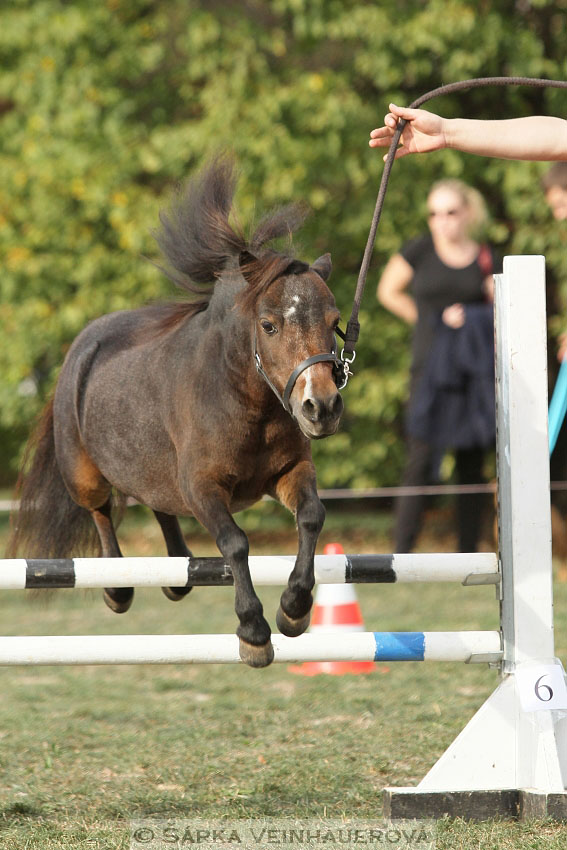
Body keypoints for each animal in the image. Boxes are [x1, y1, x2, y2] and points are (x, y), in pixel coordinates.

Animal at [10, 157, 346, 664]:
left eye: (334, 322)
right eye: (269, 325)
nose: (320, 407)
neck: (246, 405)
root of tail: (83, 344)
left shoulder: (288, 472)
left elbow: (310, 517)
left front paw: (293, 608)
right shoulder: (203, 488)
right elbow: (235, 543)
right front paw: (253, 631)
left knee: (157, 502)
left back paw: (175, 574)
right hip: (85, 477)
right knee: (103, 512)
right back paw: (118, 587)